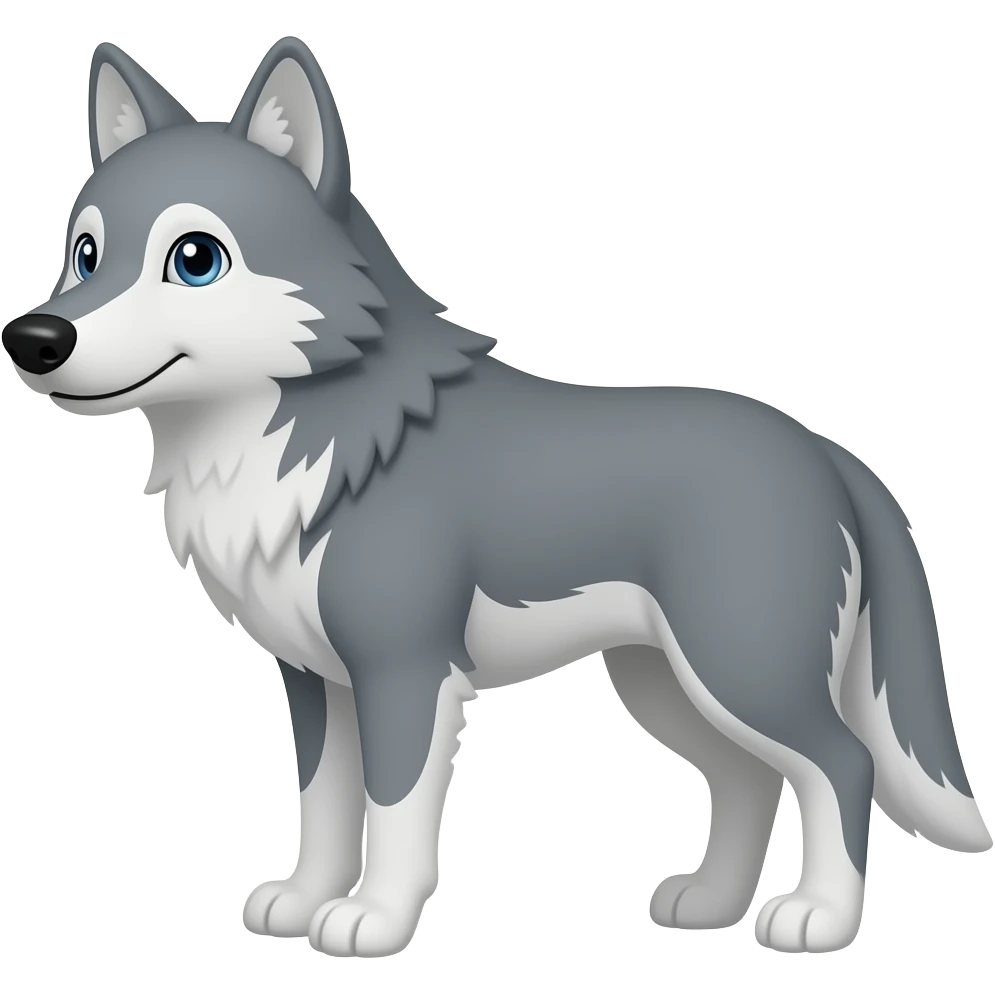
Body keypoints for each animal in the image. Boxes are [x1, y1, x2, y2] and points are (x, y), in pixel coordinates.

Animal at [3, 37, 989, 959]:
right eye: (84, 254)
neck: (311, 440)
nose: (34, 338)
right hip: (665, 682)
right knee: (749, 777)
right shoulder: (315, 681)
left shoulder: (406, 671)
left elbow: (394, 809)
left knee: (840, 763)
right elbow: (323, 803)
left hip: (740, 667)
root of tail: (824, 448)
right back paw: (709, 903)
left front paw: (371, 918)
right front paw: (301, 899)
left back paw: (818, 917)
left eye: (195, 259)